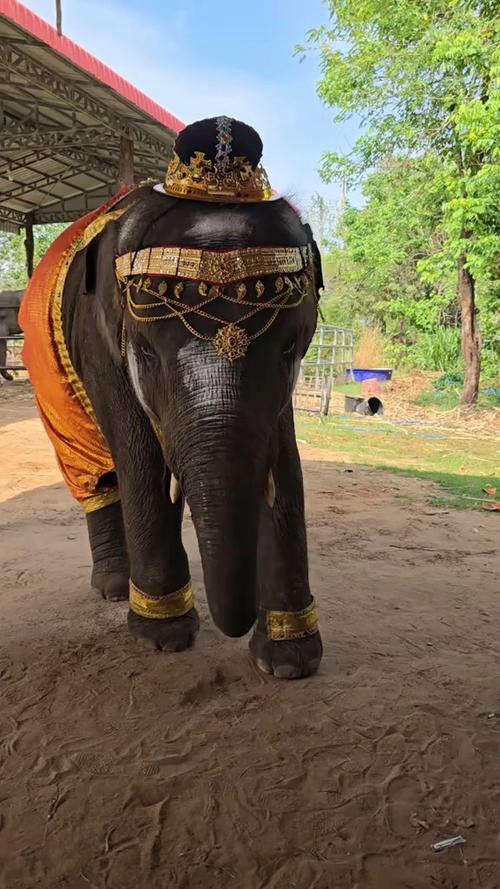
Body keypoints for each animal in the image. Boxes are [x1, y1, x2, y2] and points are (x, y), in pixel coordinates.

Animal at [20, 117, 324, 679]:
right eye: (146, 353)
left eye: (290, 349)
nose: (237, 627)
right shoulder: (100, 341)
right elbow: (139, 455)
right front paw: (163, 637)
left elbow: (283, 462)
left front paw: (288, 662)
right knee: (96, 471)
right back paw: (116, 590)